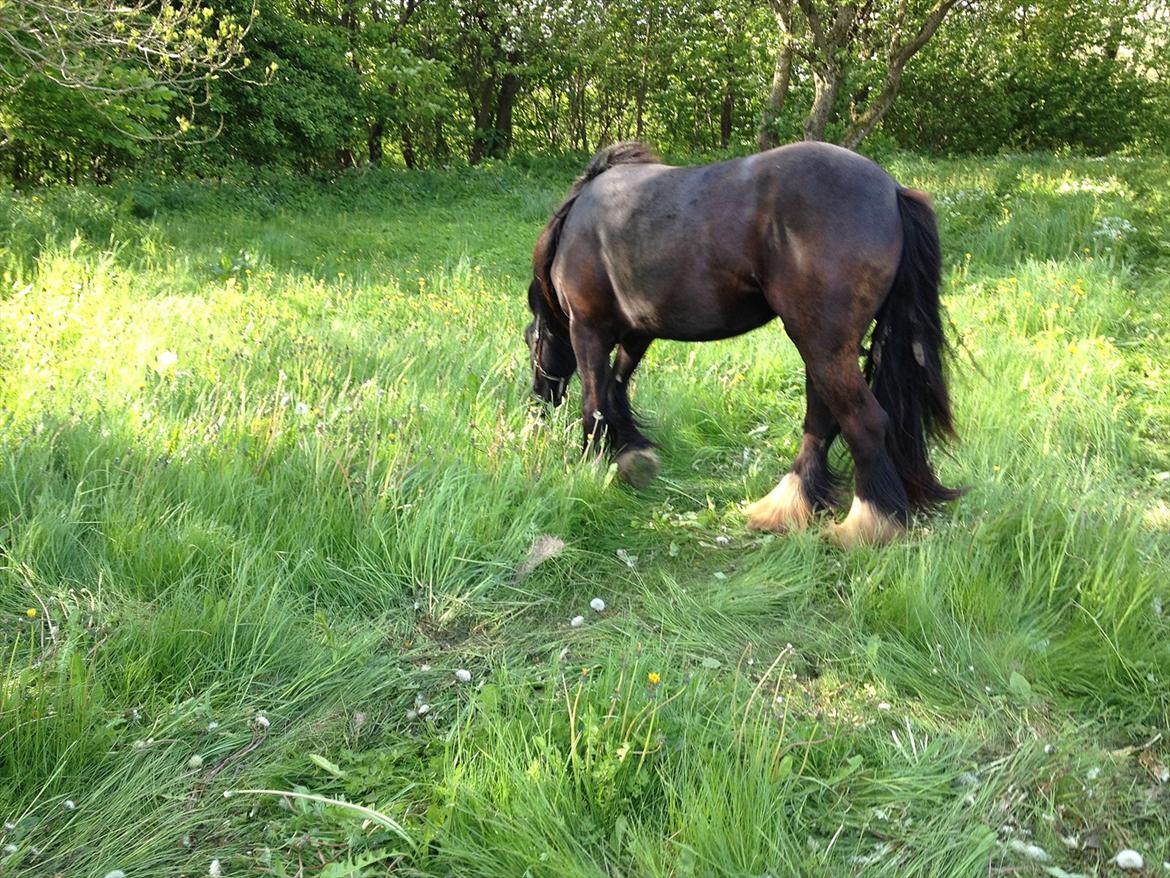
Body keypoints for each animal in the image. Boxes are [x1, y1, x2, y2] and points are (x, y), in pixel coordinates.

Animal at [524, 141, 959, 547]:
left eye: (532, 340)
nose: (540, 398)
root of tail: (892, 190)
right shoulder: (639, 331)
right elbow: (617, 387)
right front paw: (631, 452)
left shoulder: (589, 330)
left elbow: (595, 403)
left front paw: (590, 470)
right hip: (820, 348)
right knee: (820, 420)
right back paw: (787, 507)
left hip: (822, 346)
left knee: (864, 421)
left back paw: (868, 525)